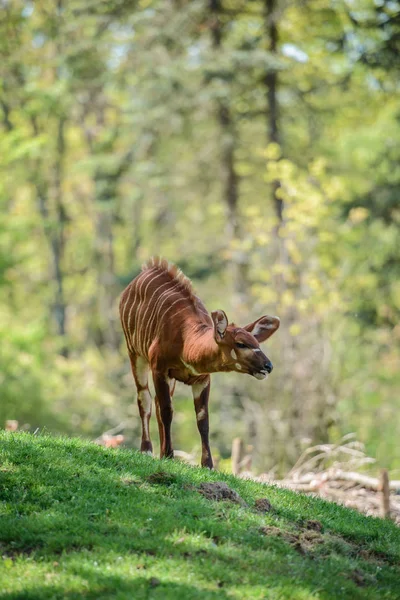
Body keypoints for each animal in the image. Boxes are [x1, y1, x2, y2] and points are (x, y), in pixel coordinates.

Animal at [120, 258, 280, 468]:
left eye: (257, 343)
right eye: (241, 343)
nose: (268, 366)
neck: (186, 341)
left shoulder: (202, 379)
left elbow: (203, 420)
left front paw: (208, 464)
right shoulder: (159, 369)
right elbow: (167, 410)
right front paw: (169, 455)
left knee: (155, 402)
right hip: (135, 354)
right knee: (144, 399)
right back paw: (147, 450)